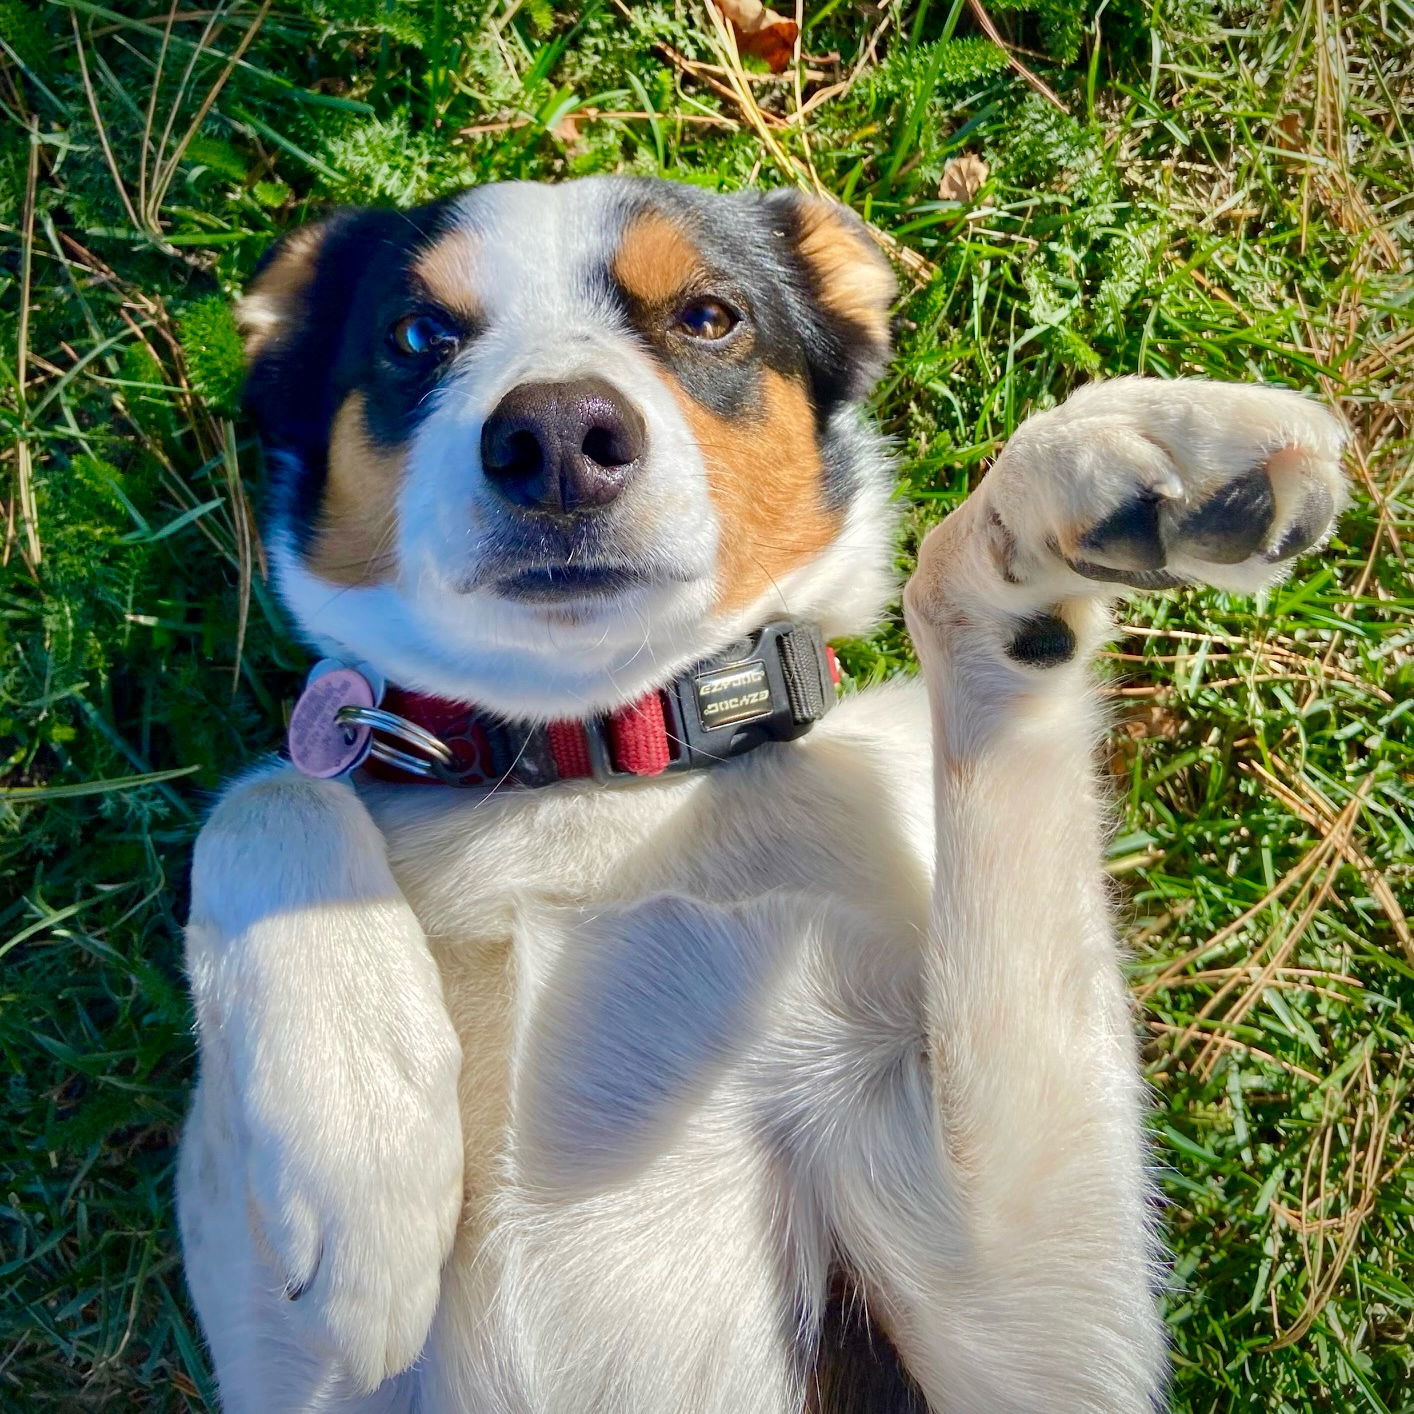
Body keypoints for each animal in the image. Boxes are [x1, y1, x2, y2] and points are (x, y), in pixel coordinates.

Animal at [176, 176, 1346, 1414]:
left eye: (708, 316)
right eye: (414, 335)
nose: (557, 437)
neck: (600, 767)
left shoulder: (1023, 1337)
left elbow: (950, 577)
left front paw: (1110, 462)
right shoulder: (292, 1369)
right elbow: (273, 793)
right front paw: (365, 1162)